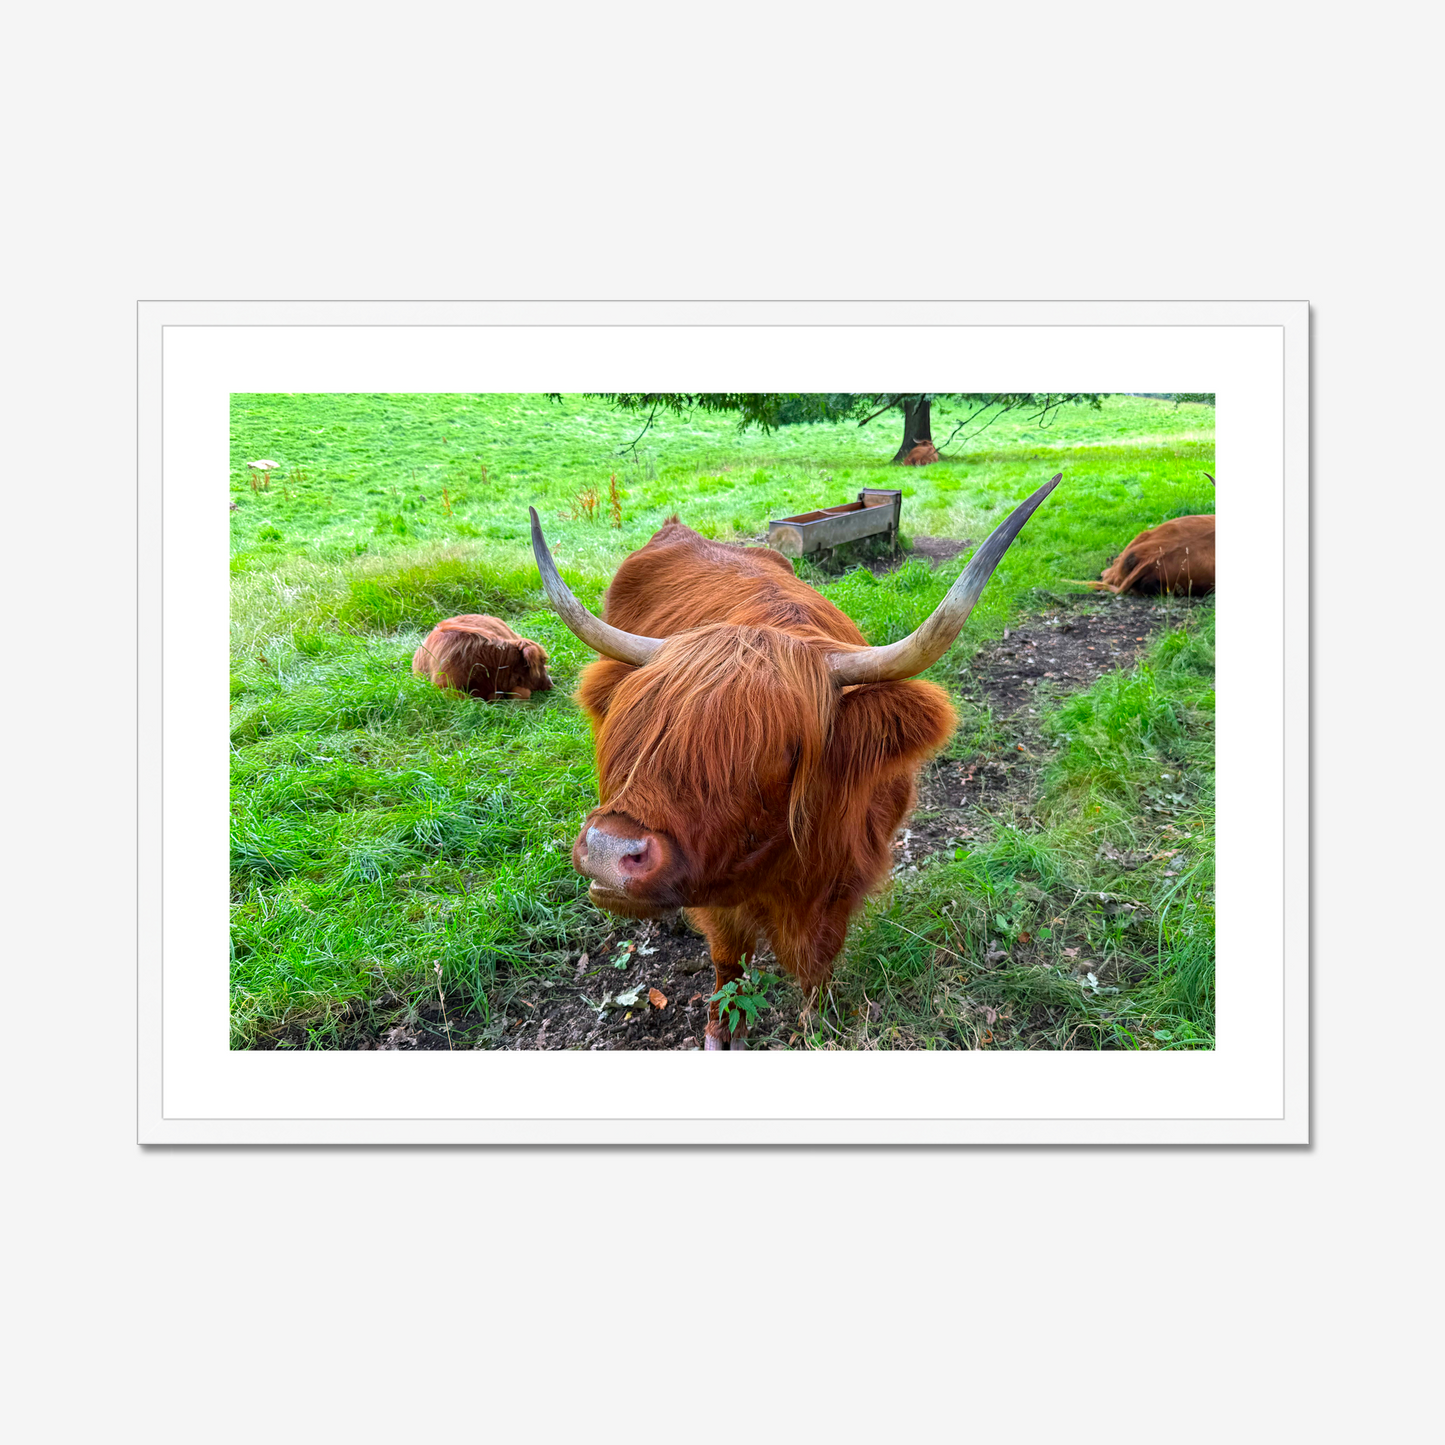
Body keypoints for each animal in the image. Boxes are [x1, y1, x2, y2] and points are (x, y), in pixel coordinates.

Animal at [528, 473, 1062, 1049]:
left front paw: (818, 1020)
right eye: (641, 726)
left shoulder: (845, 878)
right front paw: (722, 1030)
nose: (609, 851)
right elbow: (728, 958)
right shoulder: (719, 893)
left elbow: (818, 960)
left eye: (779, 750)